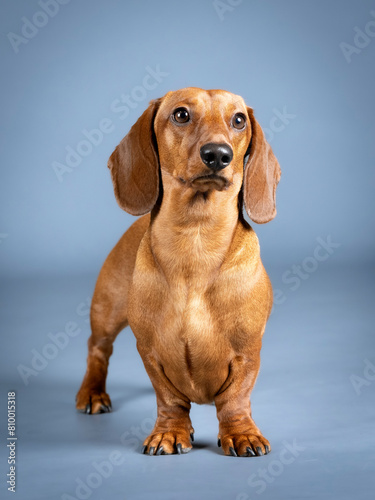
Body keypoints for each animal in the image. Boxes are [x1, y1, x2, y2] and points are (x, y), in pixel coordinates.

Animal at [76, 87, 282, 458]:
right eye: (181, 114)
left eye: (239, 120)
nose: (218, 155)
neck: (196, 241)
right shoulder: (150, 352)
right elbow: (169, 398)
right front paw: (169, 432)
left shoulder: (248, 351)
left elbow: (235, 398)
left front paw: (241, 433)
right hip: (107, 311)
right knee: (97, 349)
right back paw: (92, 394)